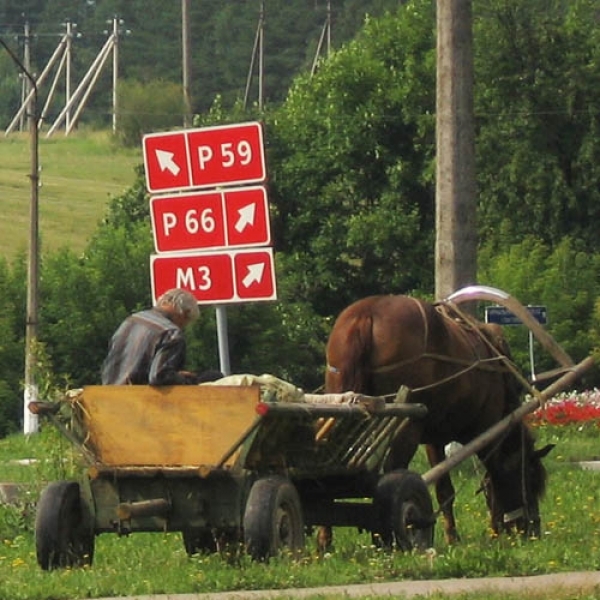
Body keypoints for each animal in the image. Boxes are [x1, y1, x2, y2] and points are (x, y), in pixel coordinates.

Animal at [324, 294, 552, 544]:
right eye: (530, 479)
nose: (533, 529)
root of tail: (367, 312)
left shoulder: (434, 438)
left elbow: (444, 489)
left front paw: (453, 536)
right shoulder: (487, 428)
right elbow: (491, 475)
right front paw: (494, 530)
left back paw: (325, 539)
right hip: (407, 424)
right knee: (394, 471)